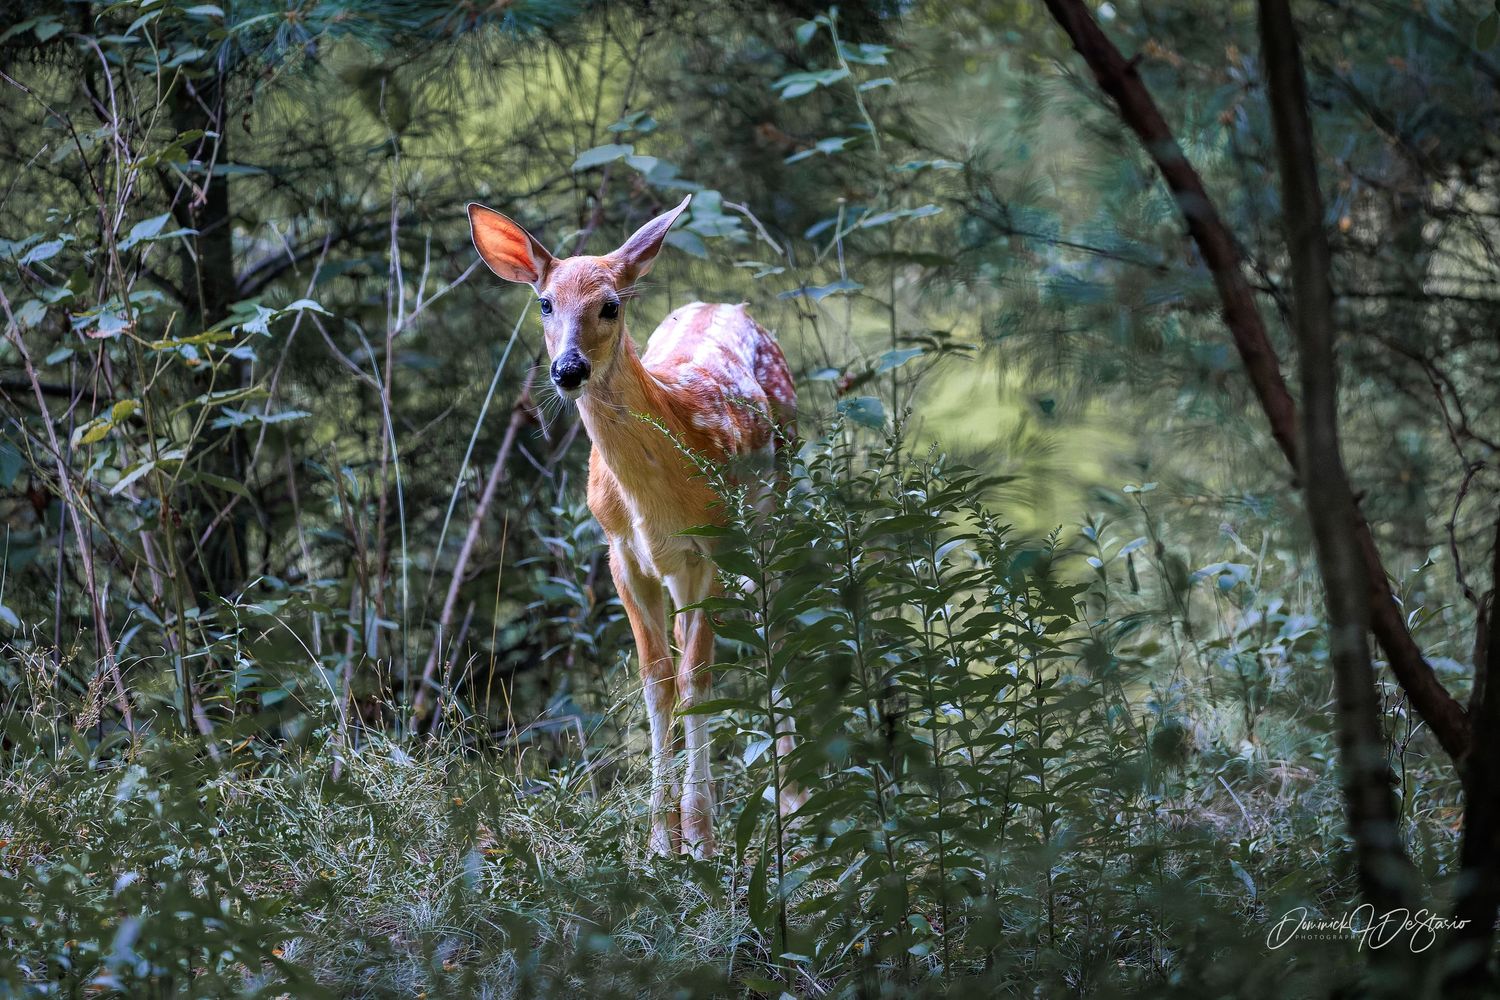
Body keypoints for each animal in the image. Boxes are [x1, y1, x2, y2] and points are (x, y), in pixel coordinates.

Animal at [467, 194, 801, 858]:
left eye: (610, 305)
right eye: (545, 303)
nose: (568, 370)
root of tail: (729, 306)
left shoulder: (711, 550)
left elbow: (696, 678)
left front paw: (700, 837)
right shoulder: (622, 553)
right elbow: (656, 680)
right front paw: (658, 843)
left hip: (771, 508)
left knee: (777, 626)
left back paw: (796, 804)